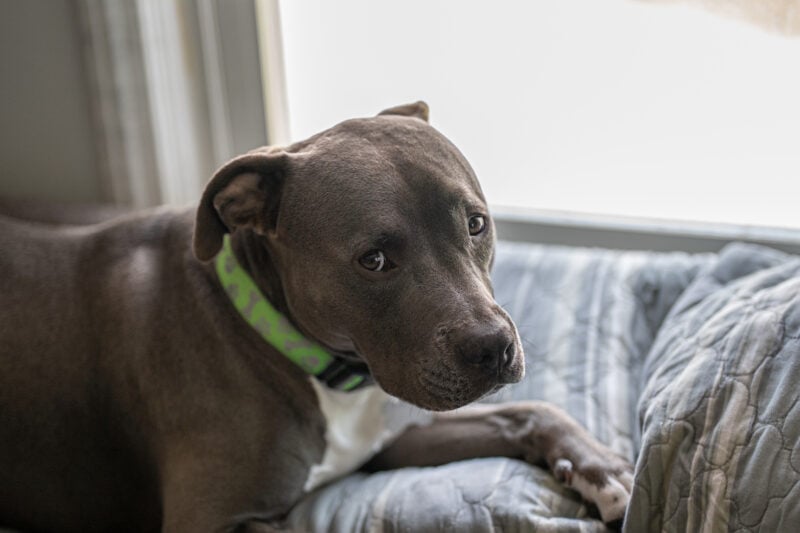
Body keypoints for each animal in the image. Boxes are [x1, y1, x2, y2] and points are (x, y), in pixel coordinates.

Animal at [0, 102, 636, 528]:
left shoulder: (388, 440)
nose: (493, 347)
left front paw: (605, 468)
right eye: (373, 259)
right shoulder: (209, 520)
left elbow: (529, 411)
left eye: (476, 224)